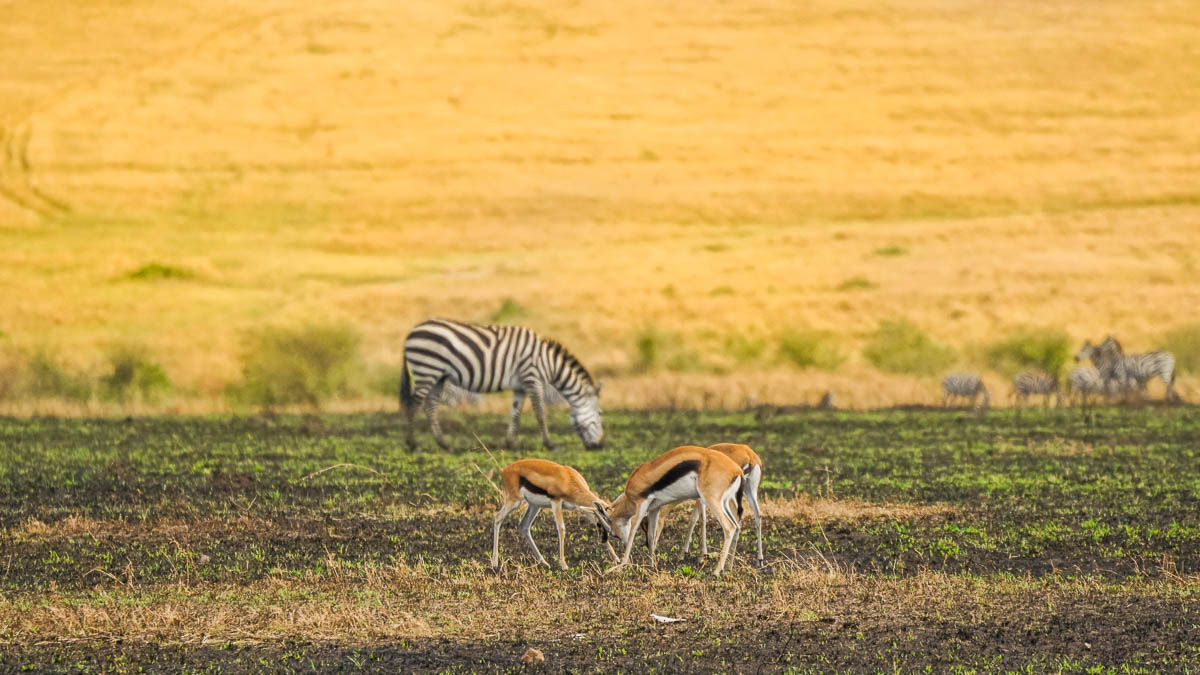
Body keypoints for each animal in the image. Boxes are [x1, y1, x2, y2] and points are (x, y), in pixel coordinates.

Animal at [400, 317, 604, 451]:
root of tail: (412, 331)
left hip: (438, 376)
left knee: (430, 405)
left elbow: (516, 413)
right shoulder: (532, 378)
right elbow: (540, 412)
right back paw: (412, 443)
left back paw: (443, 444)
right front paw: (549, 444)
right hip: (427, 368)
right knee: (414, 404)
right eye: (600, 414)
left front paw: (510, 443)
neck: (549, 363)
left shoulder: (520, 386)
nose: (600, 445)